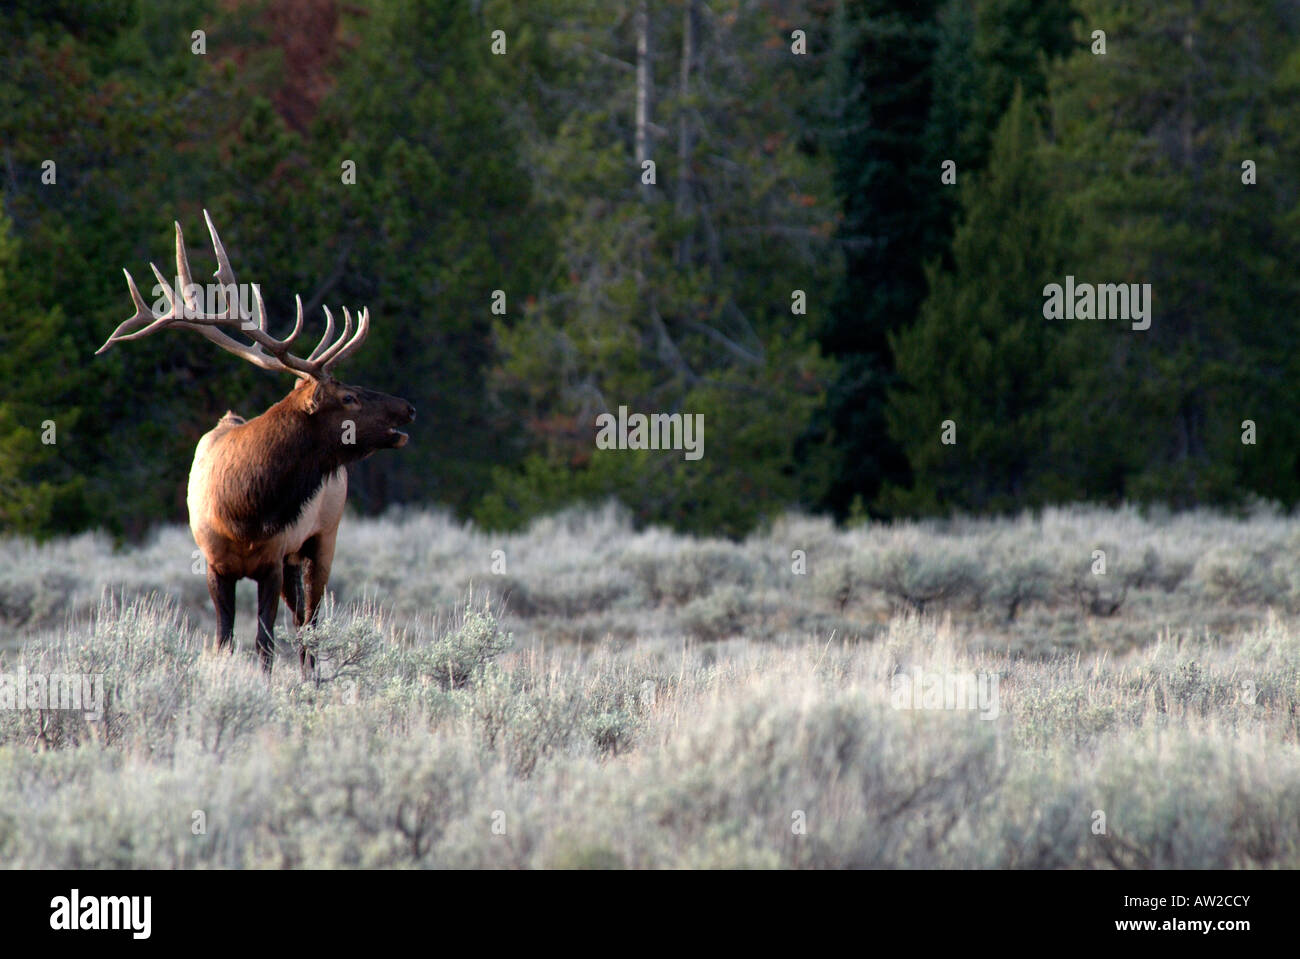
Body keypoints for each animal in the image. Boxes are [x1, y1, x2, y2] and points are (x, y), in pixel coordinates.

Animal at [97, 211, 415, 677]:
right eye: (348, 398)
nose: (408, 409)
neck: (244, 512)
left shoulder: (272, 560)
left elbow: (265, 645)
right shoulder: (216, 564)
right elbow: (225, 640)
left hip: (324, 537)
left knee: (310, 623)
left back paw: (311, 677)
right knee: (303, 620)